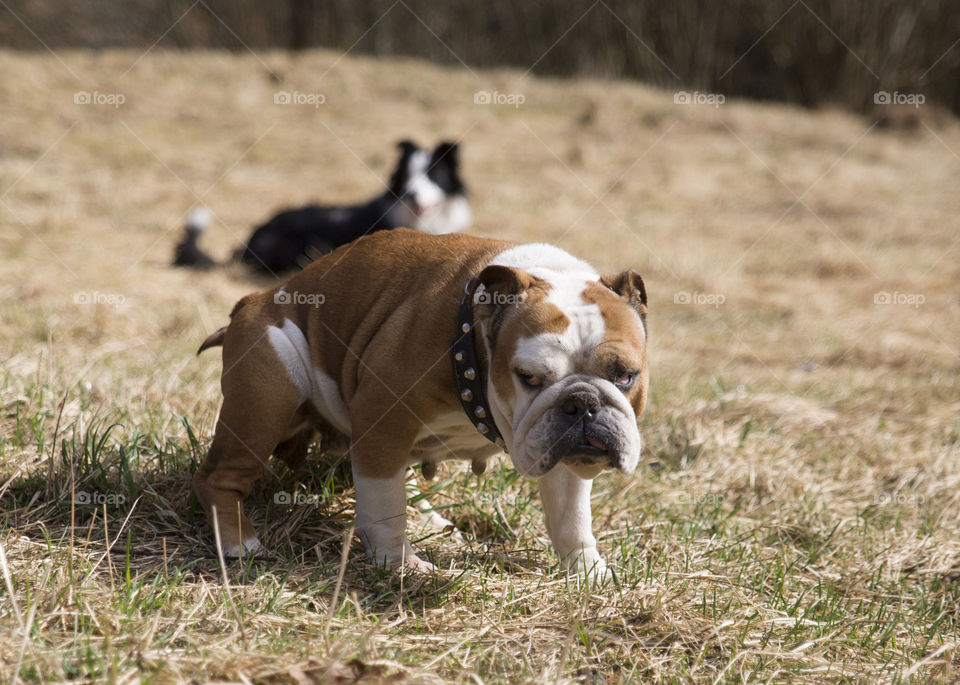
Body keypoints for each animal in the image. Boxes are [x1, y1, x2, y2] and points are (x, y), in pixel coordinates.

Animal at [191, 227, 648, 576]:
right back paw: (240, 543)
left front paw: (587, 572)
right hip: (267, 400)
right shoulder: (384, 419)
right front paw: (400, 565)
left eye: (626, 375)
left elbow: (571, 517)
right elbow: (384, 506)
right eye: (529, 378)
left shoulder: (562, 454)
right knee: (218, 477)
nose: (582, 402)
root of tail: (252, 301)